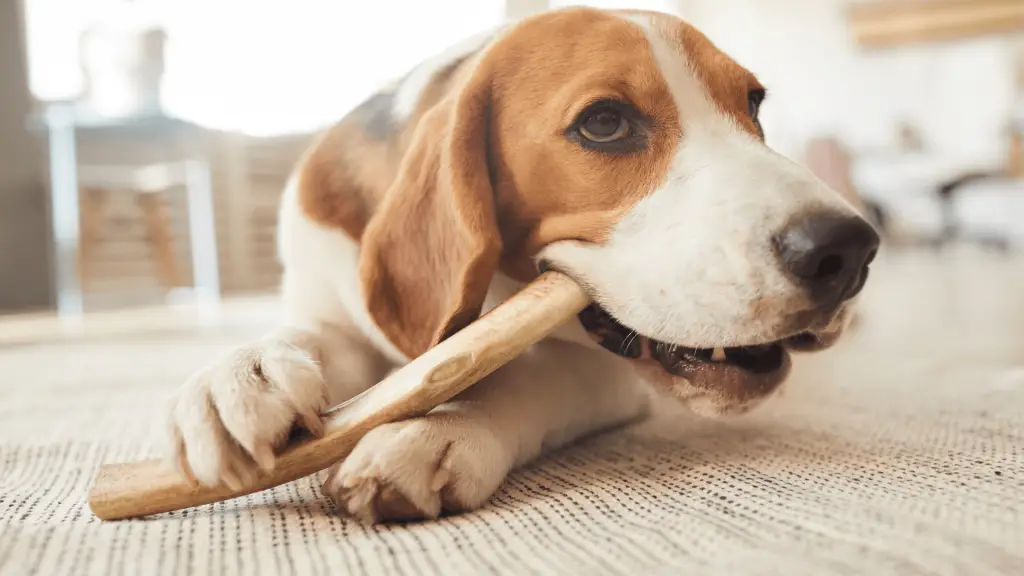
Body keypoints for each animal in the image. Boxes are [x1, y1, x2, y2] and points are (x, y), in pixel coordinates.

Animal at [165, 6, 880, 522]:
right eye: (604, 123)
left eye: (753, 104)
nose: (848, 251)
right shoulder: (328, 306)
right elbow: (306, 340)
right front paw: (240, 376)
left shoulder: (600, 370)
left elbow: (524, 376)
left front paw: (435, 431)